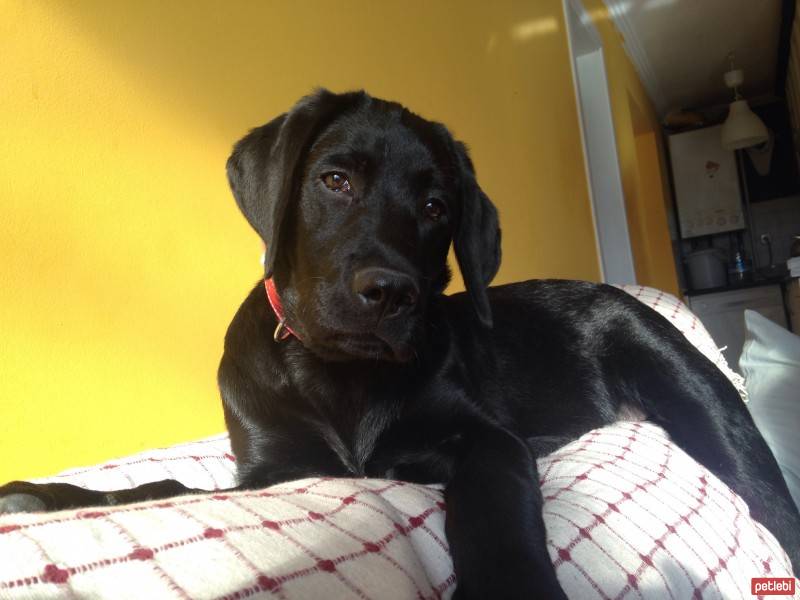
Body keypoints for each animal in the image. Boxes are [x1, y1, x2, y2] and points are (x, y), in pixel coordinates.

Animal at [1, 86, 800, 596]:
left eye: (437, 205)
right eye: (334, 181)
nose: (389, 292)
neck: (339, 375)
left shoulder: (485, 441)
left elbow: (493, 509)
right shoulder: (274, 471)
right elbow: (160, 486)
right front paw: (44, 497)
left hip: (703, 403)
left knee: (772, 499)